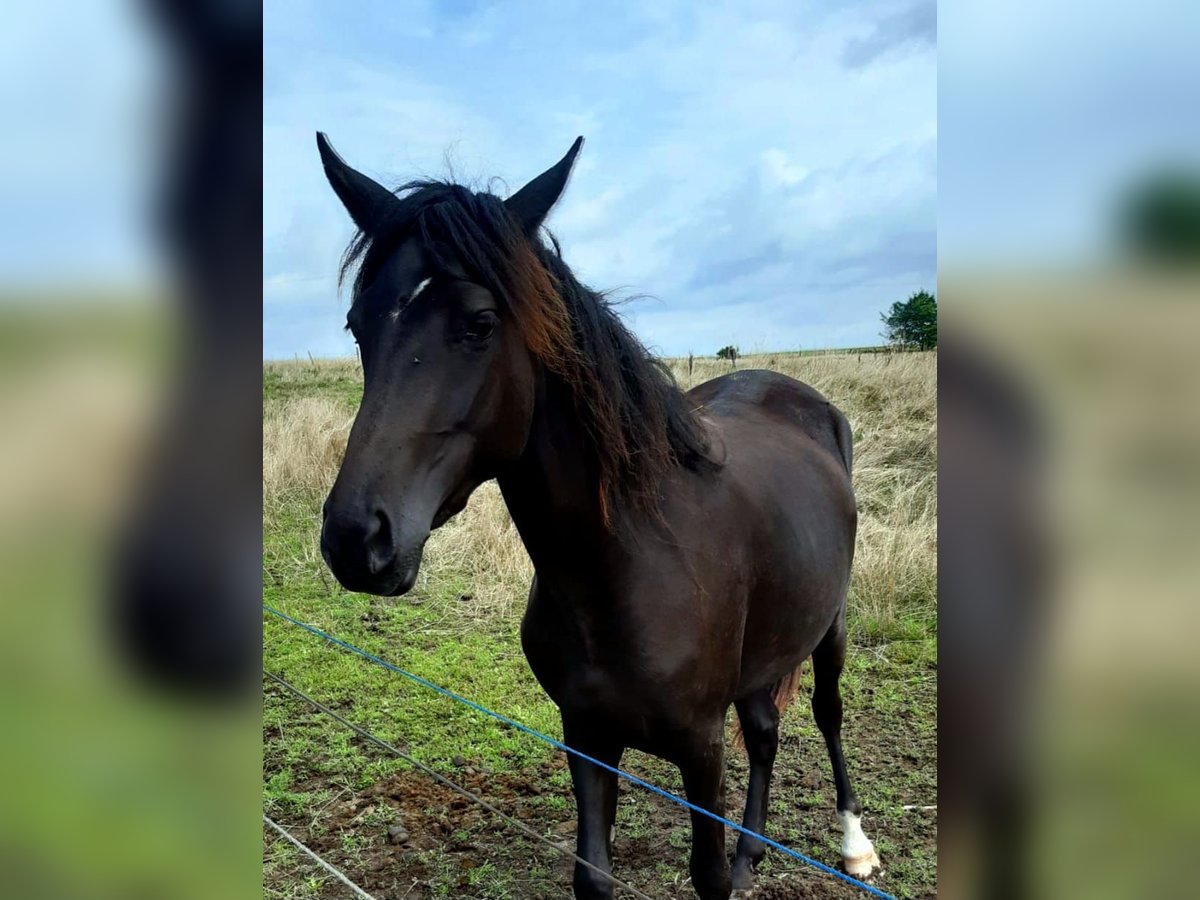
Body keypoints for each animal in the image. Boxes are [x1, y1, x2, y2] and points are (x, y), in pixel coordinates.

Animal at [314, 133, 880, 899]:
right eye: (358, 326)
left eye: (480, 323)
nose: (356, 539)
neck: (623, 567)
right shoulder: (585, 734)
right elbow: (593, 875)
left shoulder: (701, 750)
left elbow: (707, 876)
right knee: (765, 730)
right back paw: (752, 853)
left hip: (831, 626)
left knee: (827, 713)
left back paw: (855, 846)